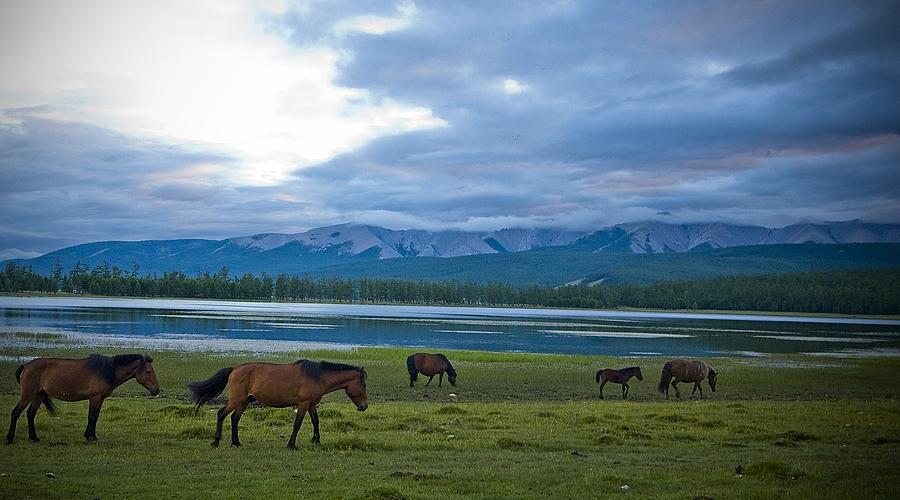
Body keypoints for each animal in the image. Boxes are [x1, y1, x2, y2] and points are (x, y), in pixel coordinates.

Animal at [5, 354, 159, 444]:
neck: (106, 371)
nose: (156, 390)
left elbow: (95, 417)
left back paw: (34, 438)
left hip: (39, 395)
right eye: (148, 371)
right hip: (27, 395)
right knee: (16, 413)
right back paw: (10, 438)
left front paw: (93, 436)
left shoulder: (100, 399)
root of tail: (26, 365)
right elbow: (92, 417)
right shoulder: (95, 398)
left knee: (30, 414)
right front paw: (89, 437)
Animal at [188, 360, 368, 450]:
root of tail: (234, 369)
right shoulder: (303, 404)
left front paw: (316, 441)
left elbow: (315, 421)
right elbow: (297, 424)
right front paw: (292, 445)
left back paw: (236, 442)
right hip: (236, 399)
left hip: (244, 401)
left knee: (234, 418)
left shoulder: (311, 404)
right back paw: (216, 442)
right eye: (364, 384)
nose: (364, 406)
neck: (318, 376)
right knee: (221, 414)